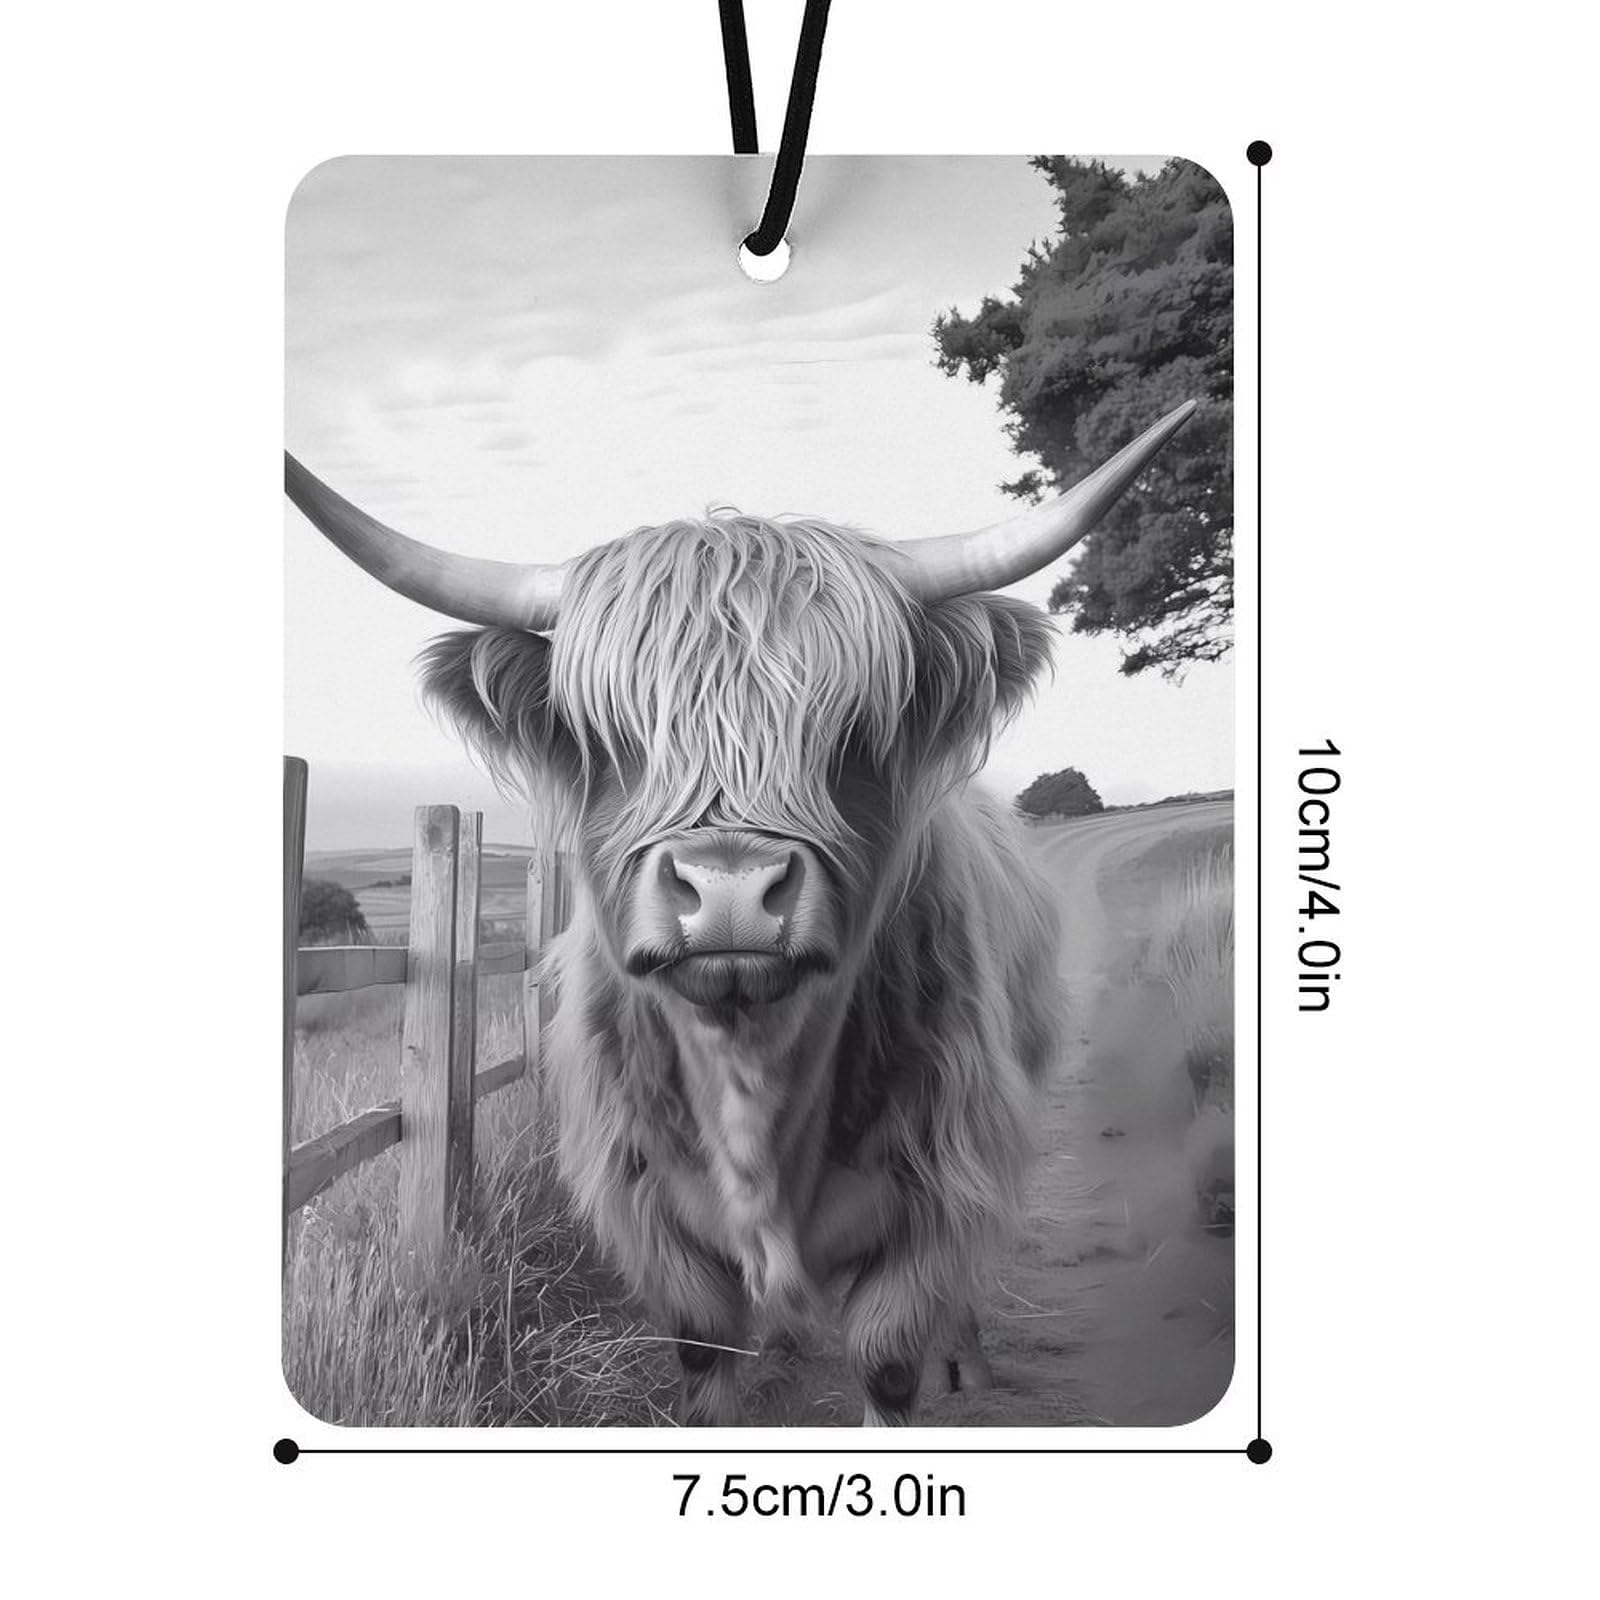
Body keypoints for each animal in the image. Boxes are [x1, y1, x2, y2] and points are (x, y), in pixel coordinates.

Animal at [285, 400, 1194, 1424]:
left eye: (851, 732)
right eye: (616, 738)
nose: (726, 892)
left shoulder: (933, 1190)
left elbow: (890, 1359)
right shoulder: (654, 1212)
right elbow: (703, 1354)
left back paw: (966, 1359)